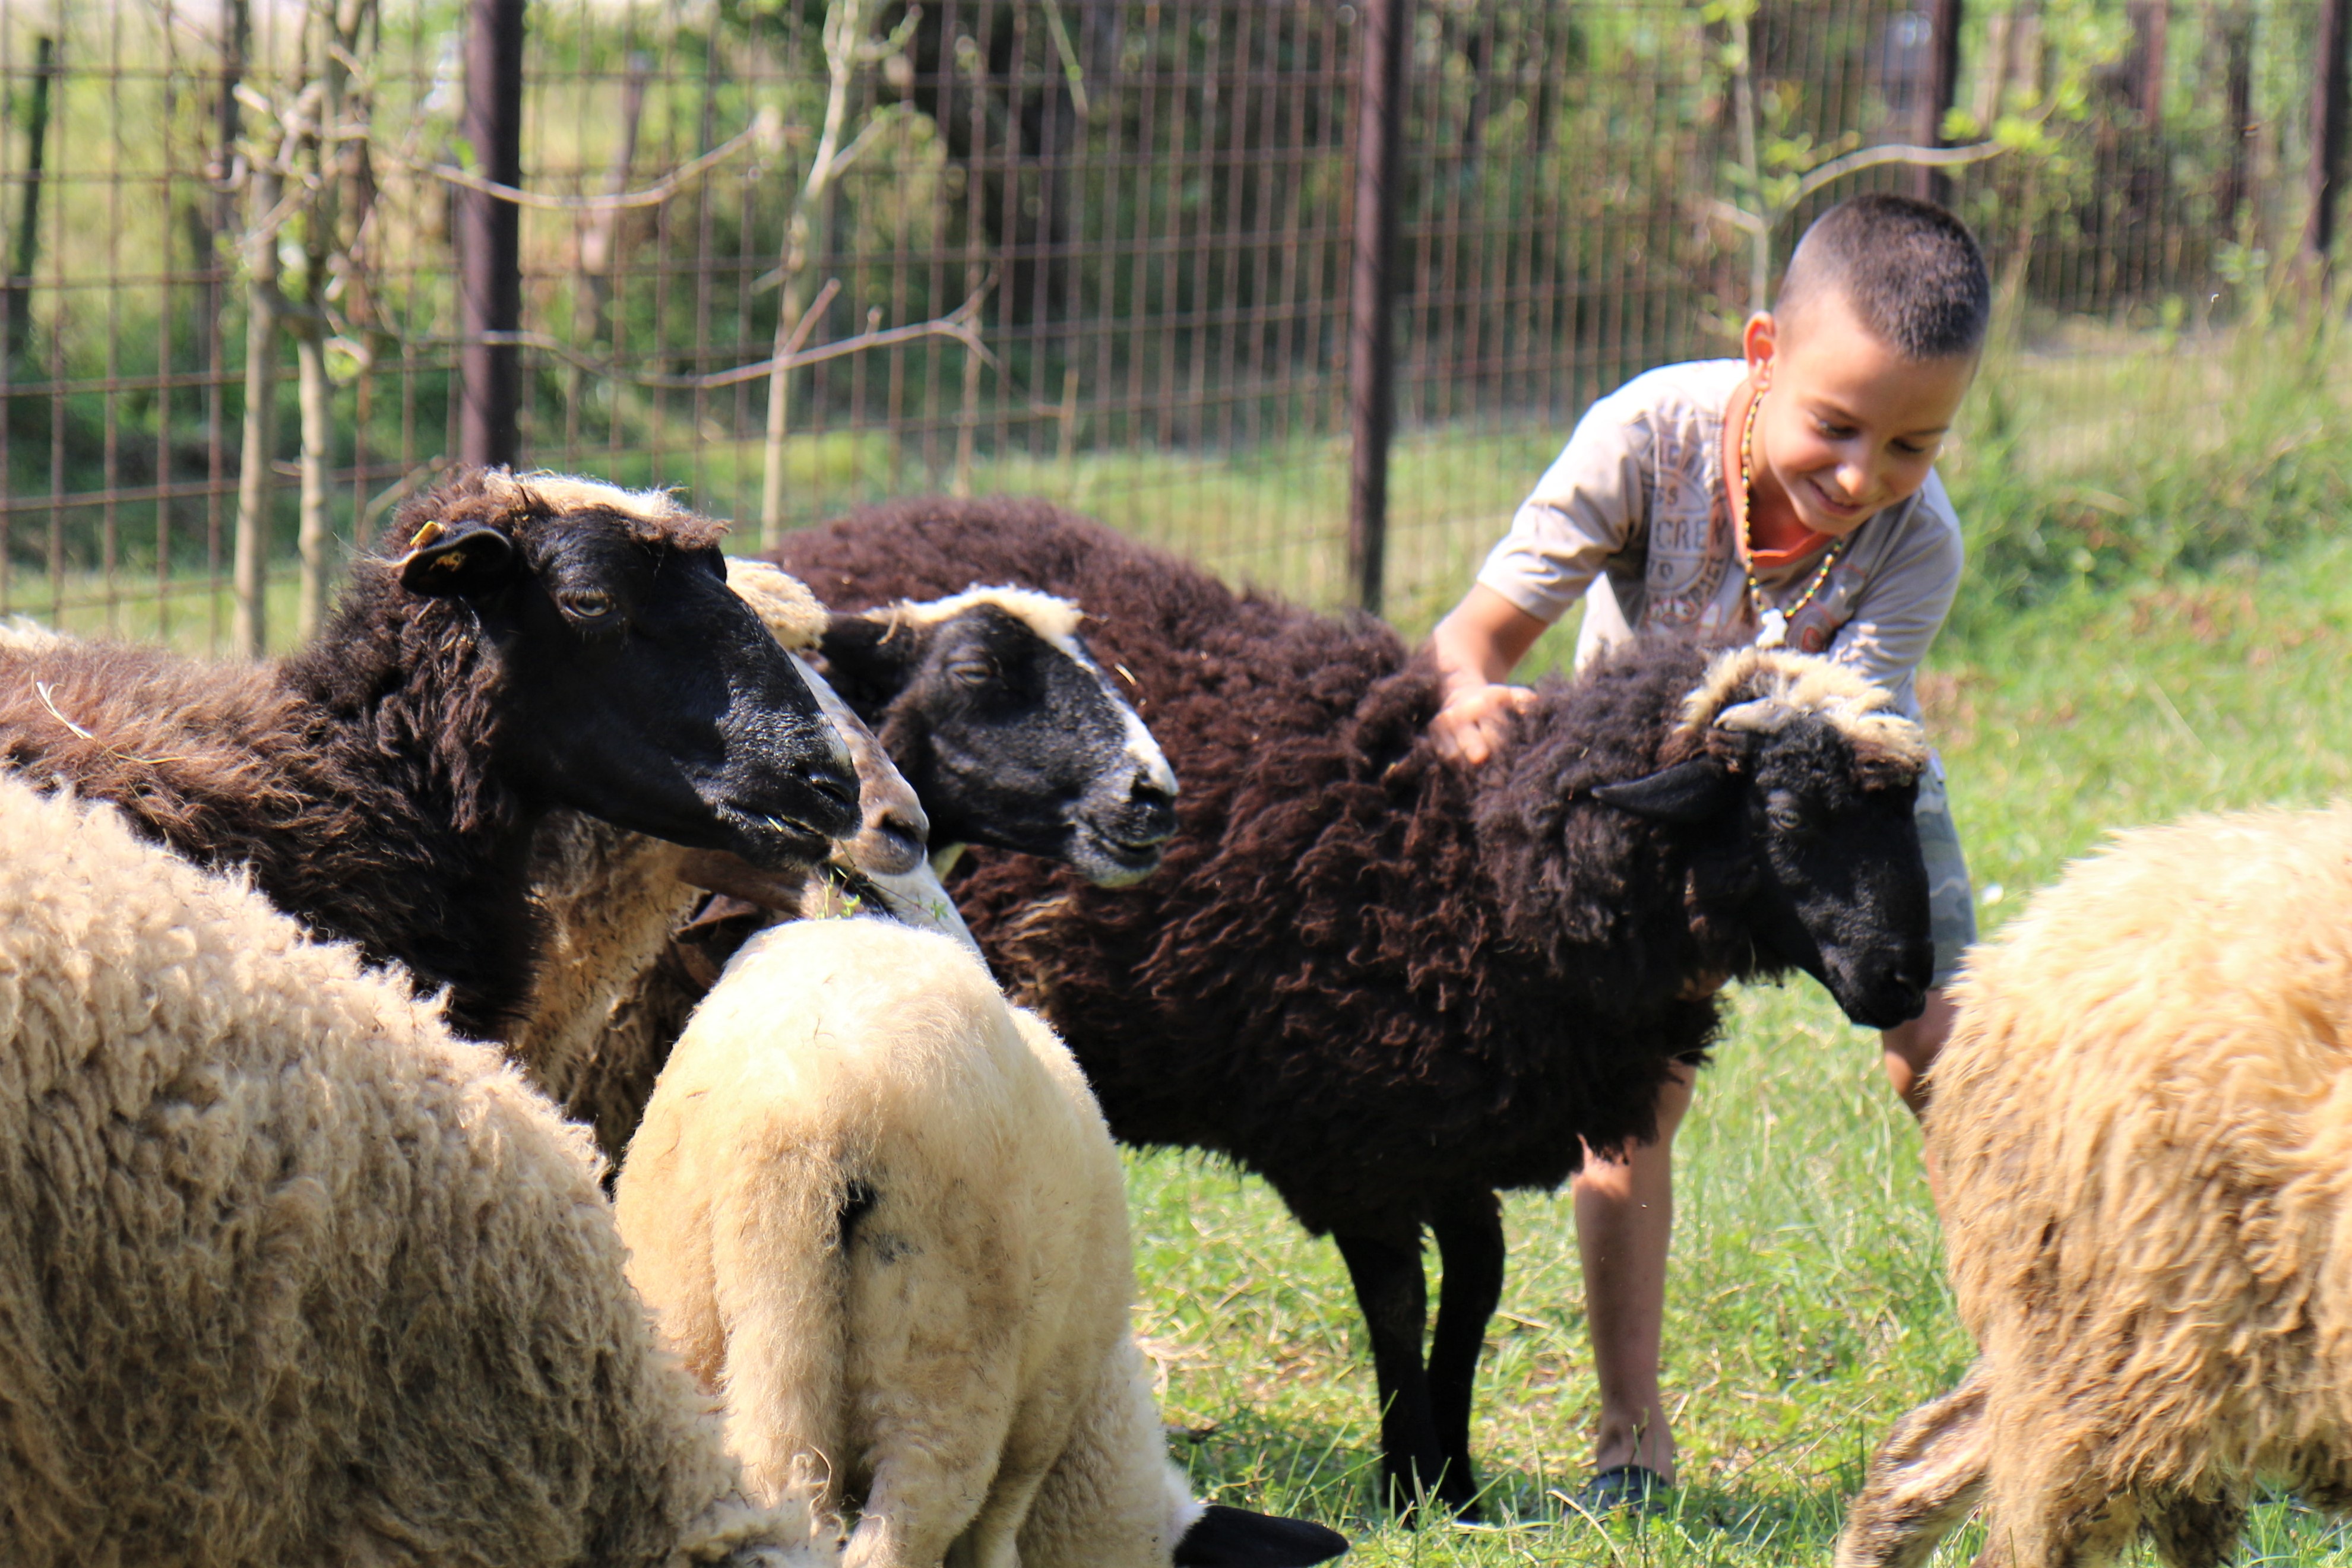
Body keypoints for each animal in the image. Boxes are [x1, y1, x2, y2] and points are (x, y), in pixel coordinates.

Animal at [757, 496, 1929, 1513]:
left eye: (1903, 809)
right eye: (1789, 808)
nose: (1902, 978)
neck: (1477, 860)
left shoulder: (1448, 1134)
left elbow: (1476, 1291)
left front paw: (1461, 1487)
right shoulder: (1353, 1143)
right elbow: (1400, 1303)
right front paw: (1408, 1482)